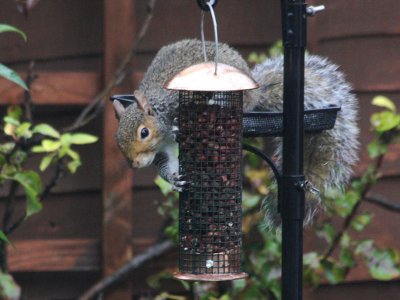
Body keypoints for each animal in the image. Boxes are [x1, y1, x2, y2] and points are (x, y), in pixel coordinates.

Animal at [113, 38, 360, 226]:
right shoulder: (164, 152)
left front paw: (179, 126)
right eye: (117, 141)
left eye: (144, 133)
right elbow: (169, 167)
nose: (134, 164)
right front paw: (176, 181)